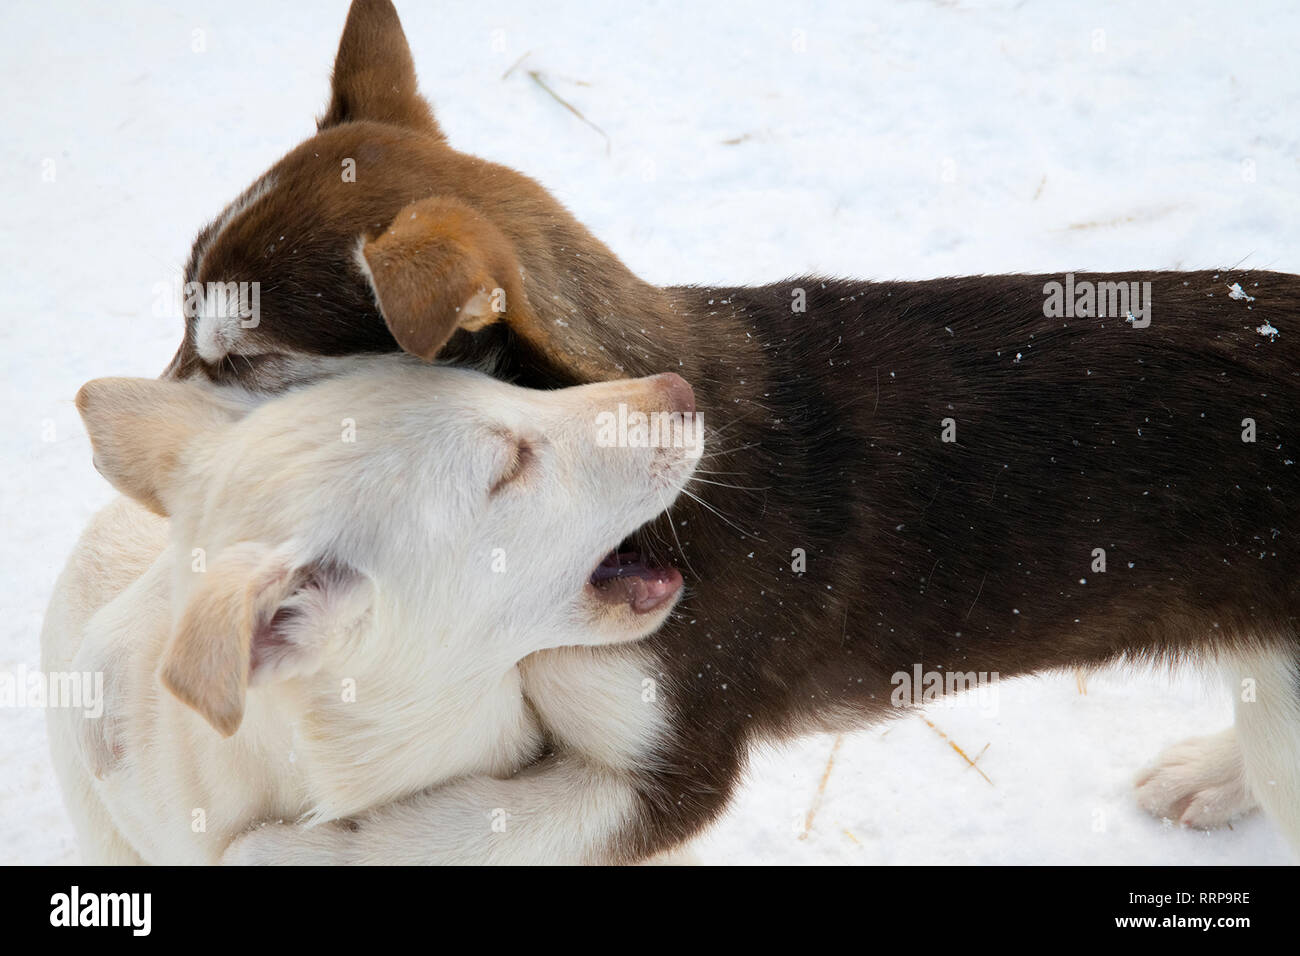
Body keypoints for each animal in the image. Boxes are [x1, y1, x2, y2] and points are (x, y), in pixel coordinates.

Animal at [162, 1, 1300, 868]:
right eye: (182, 314)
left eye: (245, 361)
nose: (131, 410)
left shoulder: (674, 761)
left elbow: (454, 827)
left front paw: (288, 850)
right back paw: (1211, 772)